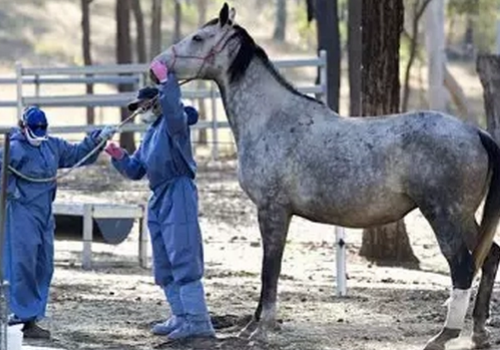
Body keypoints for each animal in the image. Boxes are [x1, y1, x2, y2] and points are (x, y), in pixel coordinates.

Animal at [151, 3, 500, 350]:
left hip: (444, 215)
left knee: (463, 266)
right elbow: (268, 268)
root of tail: (475, 132)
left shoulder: (272, 211)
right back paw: (479, 333)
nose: (157, 68)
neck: (272, 120)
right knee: (490, 257)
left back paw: (444, 335)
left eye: (198, 38)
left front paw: (261, 329)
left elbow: (269, 268)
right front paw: (251, 326)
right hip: (464, 216)